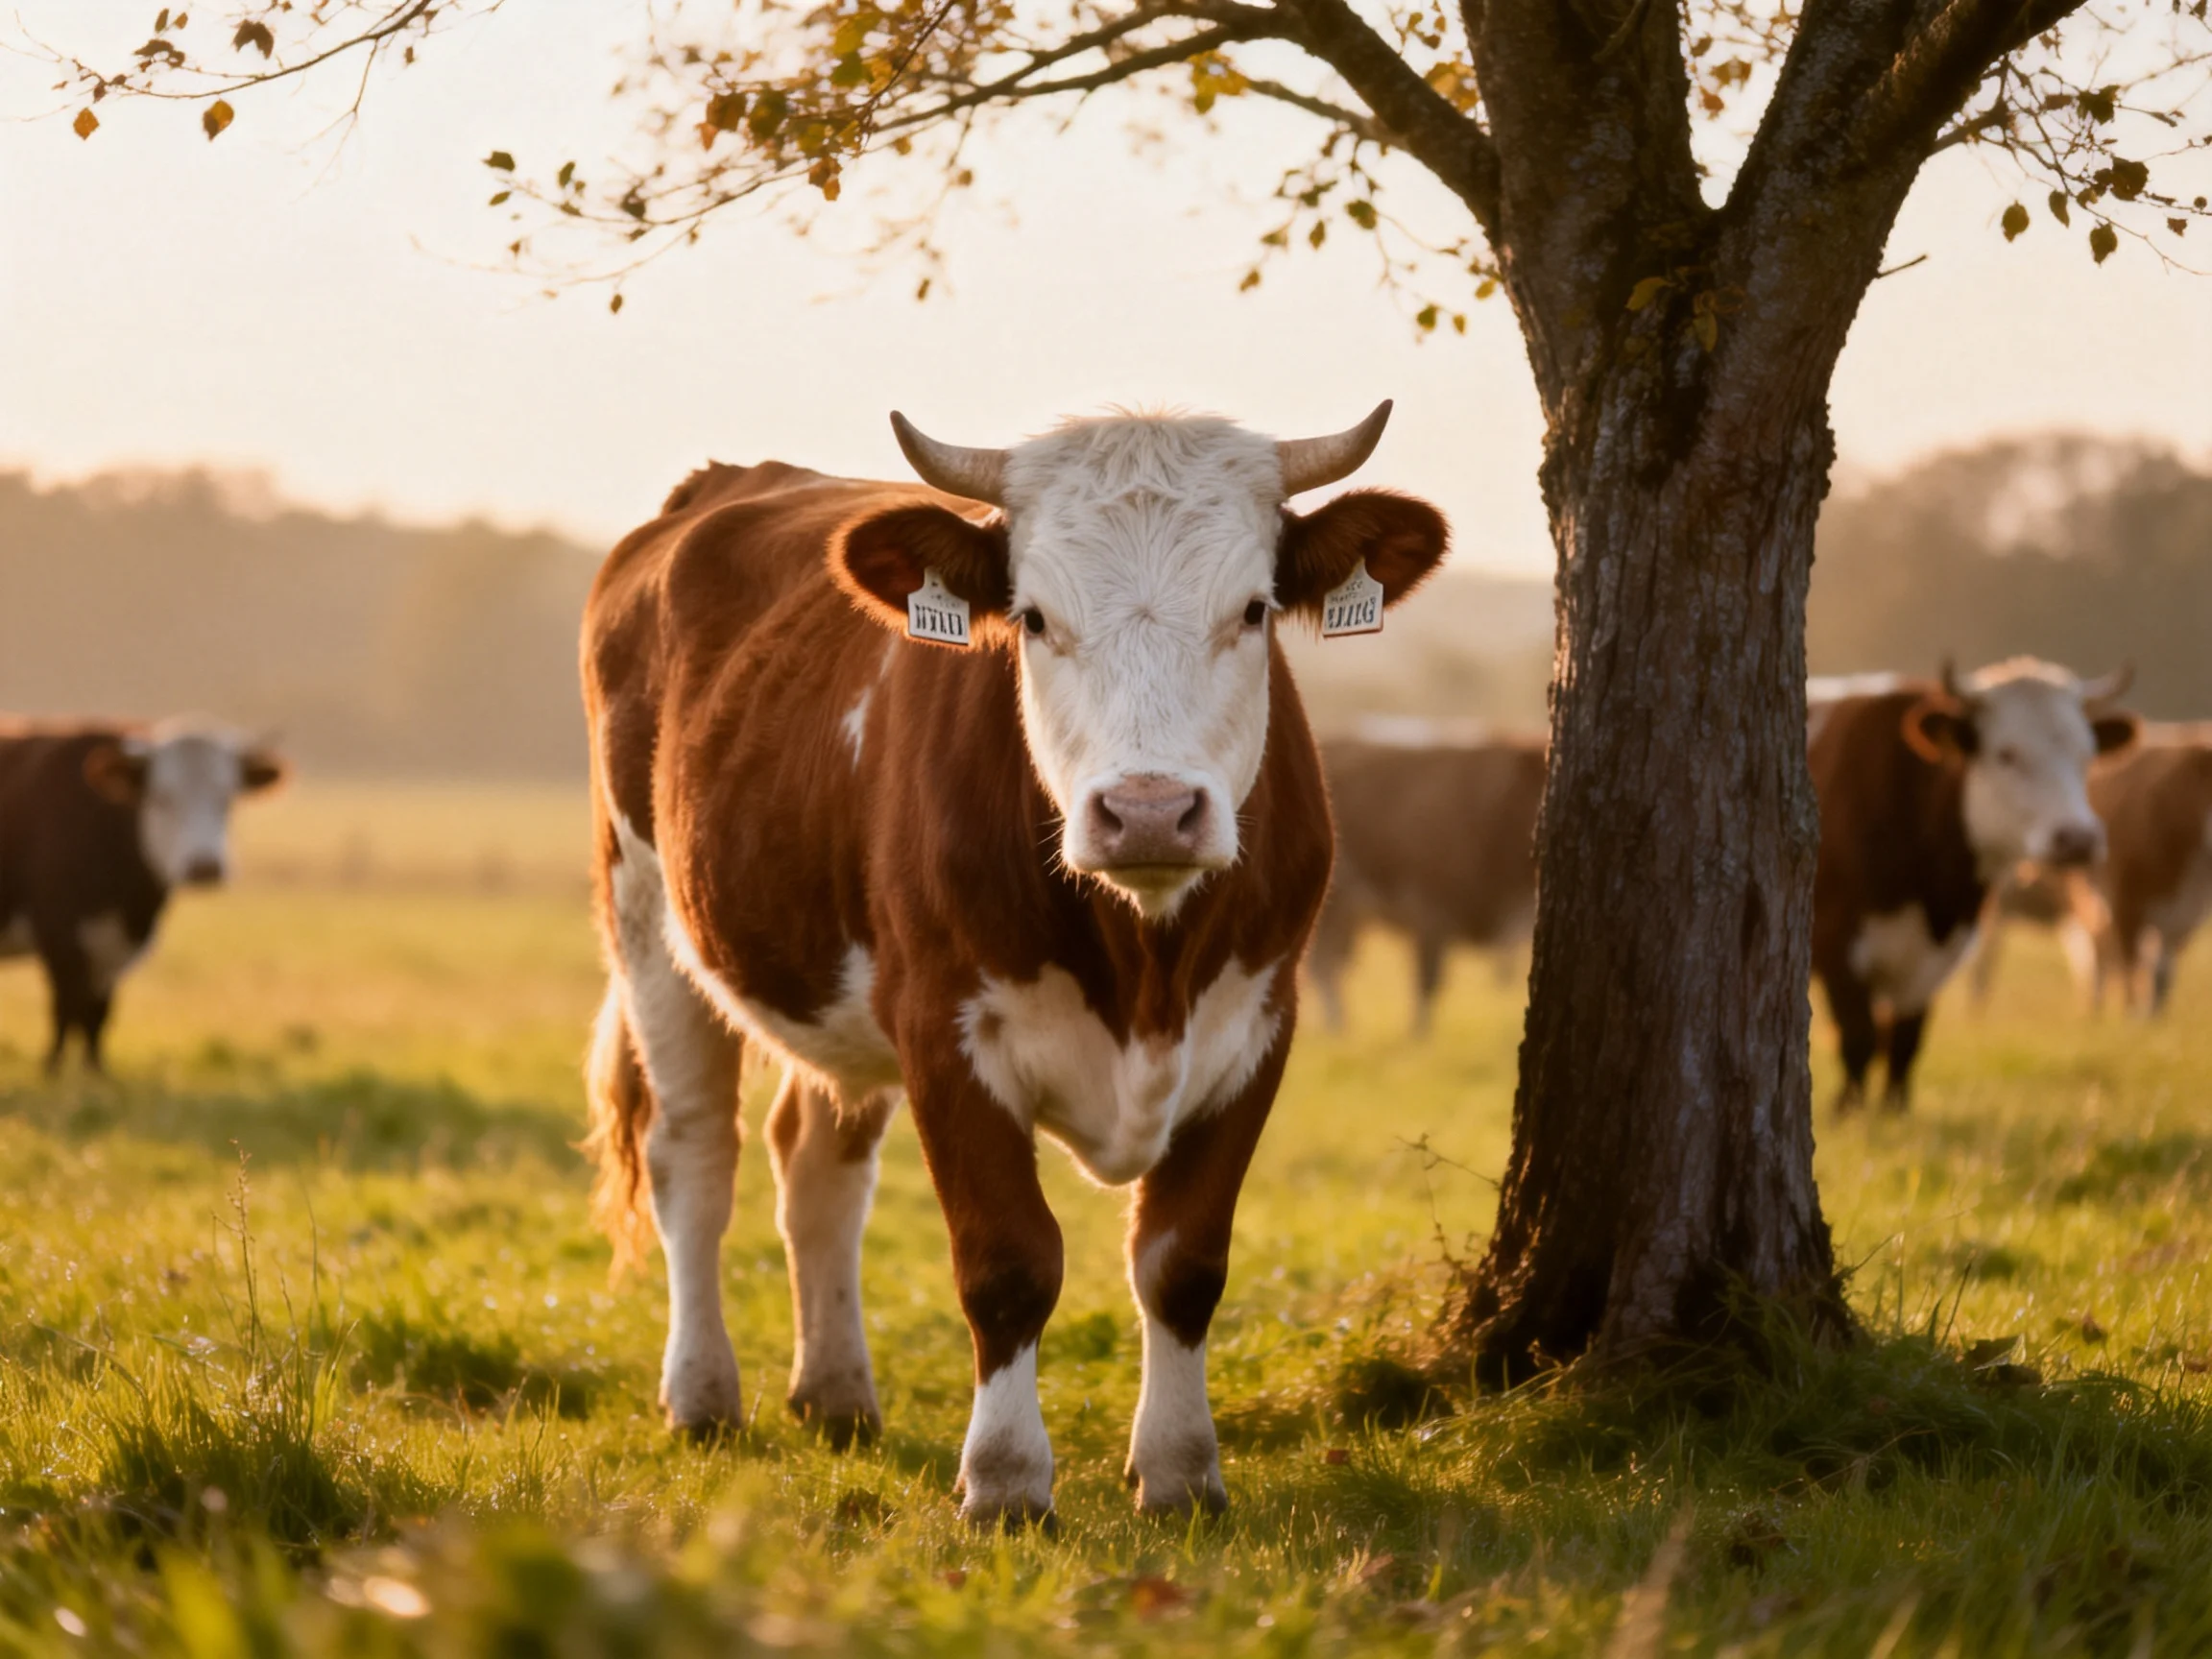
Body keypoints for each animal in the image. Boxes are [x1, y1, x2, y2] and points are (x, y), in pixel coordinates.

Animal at [0, 720, 285, 1072]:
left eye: (227, 798)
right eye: (161, 797)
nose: (204, 867)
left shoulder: (116, 948)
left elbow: (98, 1014)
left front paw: (95, 1072)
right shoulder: (57, 933)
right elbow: (64, 1010)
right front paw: (53, 1069)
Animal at [579, 405, 1448, 1525]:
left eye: (1254, 610)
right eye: (1033, 619)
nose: (1149, 811)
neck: (1144, 960)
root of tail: (722, 485)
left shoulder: (1260, 1022)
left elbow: (1182, 1261)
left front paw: (1180, 1471)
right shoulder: (944, 1027)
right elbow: (1007, 1260)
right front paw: (1003, 1480)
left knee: (816, 1164)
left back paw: (836, 1393)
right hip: (648, 914)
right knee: (694, 1156)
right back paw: (701, 1395)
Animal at [1306, 730, 1544, 1036]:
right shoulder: (1430, 913)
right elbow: (1427, 983)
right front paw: (1419, 1035)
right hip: (1333, 912)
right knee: (1322, 965)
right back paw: (1337, 1024)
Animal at [1809, 660, 2137, 1112]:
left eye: (2086, 754)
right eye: (2005, 753)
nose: (2078, 839)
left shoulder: (1938, 955)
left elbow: (1905, 1041)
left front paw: (1895, 1110)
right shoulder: (1837, 944)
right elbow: (1859, 1037)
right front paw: (1848, 1111)